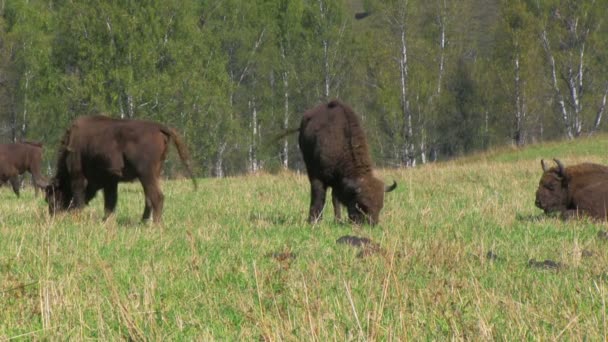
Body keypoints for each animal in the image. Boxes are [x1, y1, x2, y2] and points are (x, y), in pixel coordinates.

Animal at [45, 115, 197, 223]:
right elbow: (110, 202)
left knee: (157, 197)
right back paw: (143, 222)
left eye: (51, 198)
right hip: (154, 174)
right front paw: (105, 220)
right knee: (149, 197)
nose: (53, 215)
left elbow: (80, 198)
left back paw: (156, 224)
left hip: (146, 174)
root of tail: (159, 127)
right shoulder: (110, 182)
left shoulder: (78, 175)